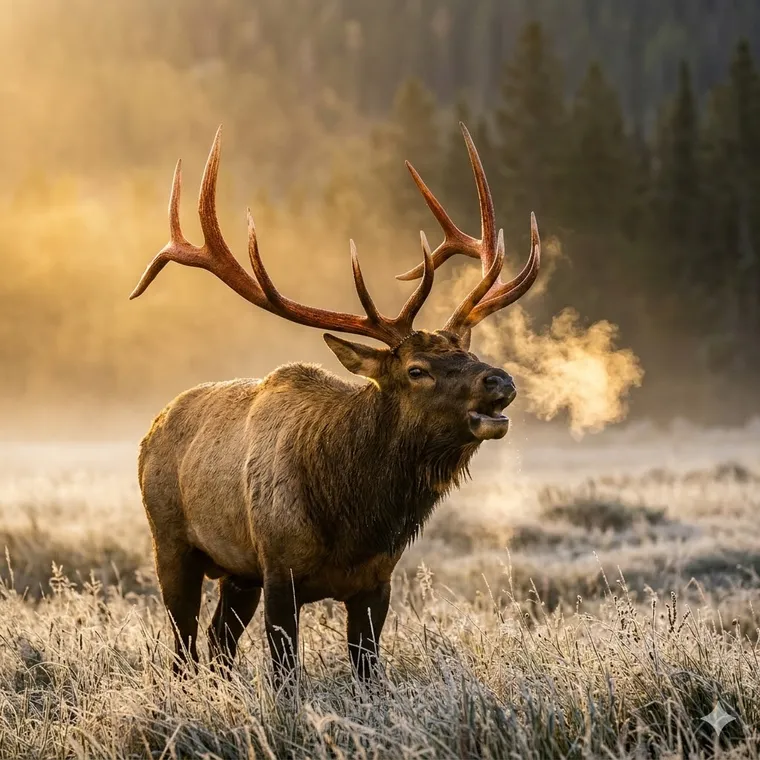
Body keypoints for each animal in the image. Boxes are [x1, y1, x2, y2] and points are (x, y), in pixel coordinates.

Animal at [130, 123, 540, 687]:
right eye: (416, 370)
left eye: (471, 354)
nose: (499, 381)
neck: (354, 519)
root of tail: (152, 427)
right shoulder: (279, 572)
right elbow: (285, 675)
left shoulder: (376, 582)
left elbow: (367, 670)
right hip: (171, 542)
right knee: (184, 648)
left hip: (236, 572)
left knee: (218, 645)